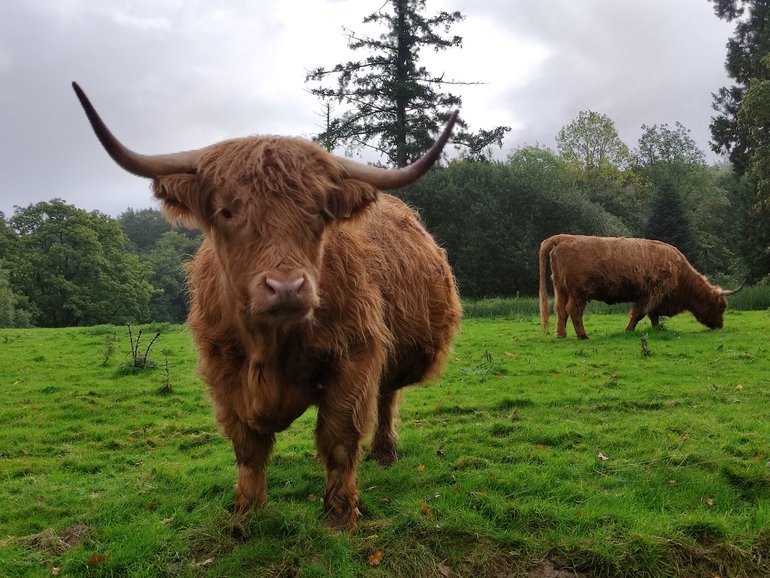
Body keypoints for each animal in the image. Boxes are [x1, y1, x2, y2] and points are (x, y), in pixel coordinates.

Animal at [72, 82, 462, 530]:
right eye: (226, 210)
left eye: (320, 212)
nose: (286, 287)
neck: (270, 346)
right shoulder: (223, 367)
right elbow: (247, 445)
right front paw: (246, 513)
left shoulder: (355, 356)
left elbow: (340, 439)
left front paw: (340, 515)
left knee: (385, 397)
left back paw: (384, 452)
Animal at [539, 234, 741, 340]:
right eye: (721, 306)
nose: (719, 325)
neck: (680, 272)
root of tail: (565, 238)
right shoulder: (652, 294)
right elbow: (640, 313)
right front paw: (628, 330)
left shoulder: (654, 297)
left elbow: (653, 315)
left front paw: (657, 329)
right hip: (579, 293)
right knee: (573, 310)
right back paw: (583, 336)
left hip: (561, 289)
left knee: (560, 310)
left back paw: (561, 334)